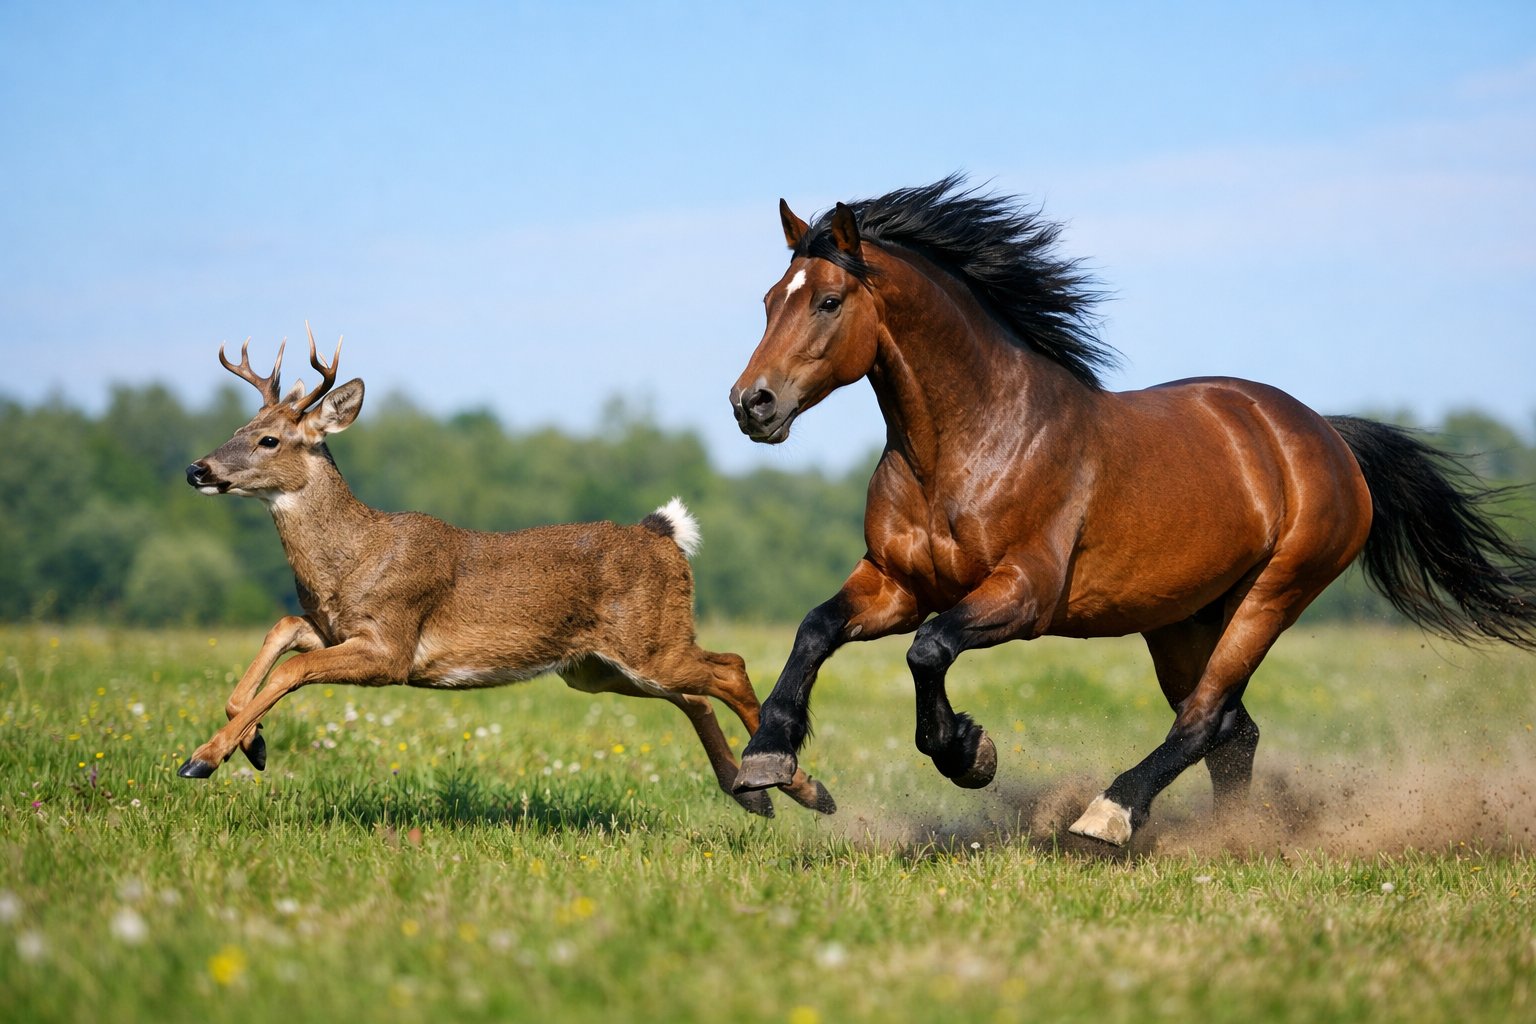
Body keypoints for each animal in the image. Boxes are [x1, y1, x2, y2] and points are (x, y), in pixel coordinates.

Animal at [179, 329, 834, 818]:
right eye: (236, 429)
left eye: (269, 439)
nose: (197, 468)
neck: (354, 556)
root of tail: (664, 535)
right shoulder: (335, 627)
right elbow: (281, 631)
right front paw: (249, 743)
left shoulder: (392, 646)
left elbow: (295, 669)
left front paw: (203, 758)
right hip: (597, 668)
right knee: (695, 696)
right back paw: (759, 794)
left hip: (650, 642)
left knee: (729, 668)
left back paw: (791, 784)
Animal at [726, 175, 1536, 846]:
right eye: (768, 300)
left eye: (829, 301)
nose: (750, 404)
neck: (965, 446)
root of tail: (1325, 436)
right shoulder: (898, 581)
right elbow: (817, 628)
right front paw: (767, 760)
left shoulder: (1024, 594)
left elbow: (928, 649)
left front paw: (969, 753)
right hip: (1182, 620)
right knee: (1233, 730)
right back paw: (1234, 840)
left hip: (1272, 596)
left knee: (1204, 718)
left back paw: (1109, 816)